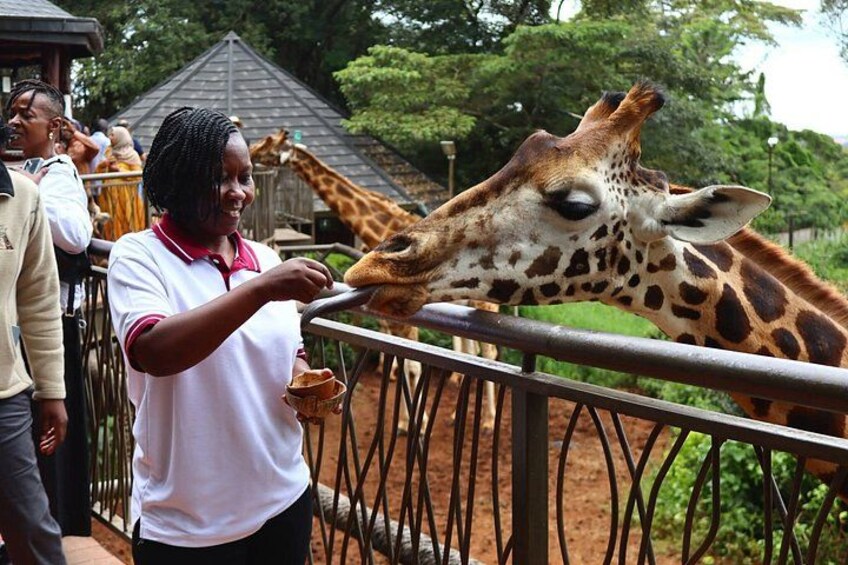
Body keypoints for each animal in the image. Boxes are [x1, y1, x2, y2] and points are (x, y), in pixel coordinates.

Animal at [249, 130, 499, 429]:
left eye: (269, 142)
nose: (250, 151)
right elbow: (402, 360)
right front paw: (404, 421)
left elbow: (412, 364)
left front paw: (417, 423)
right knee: (471, 350)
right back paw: (455, 416)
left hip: (486, 304)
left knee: (490, 354)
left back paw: (488, 421)